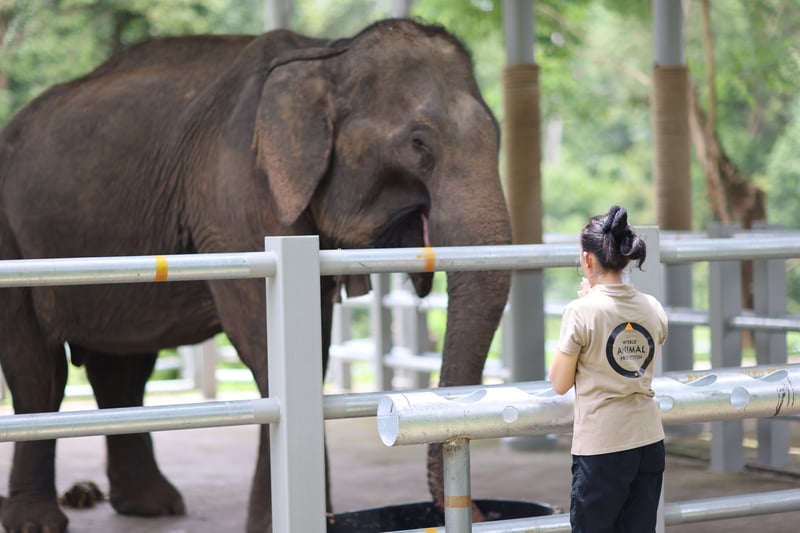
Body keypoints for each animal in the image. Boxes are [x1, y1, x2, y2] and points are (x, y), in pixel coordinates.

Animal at [0, 18, 511, 533]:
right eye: (418, 142)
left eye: (498, 136)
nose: (483, 511)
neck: (326, 56)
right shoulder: (238, 190)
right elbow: (265, 342)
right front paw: (284, 521)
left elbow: (314, 340)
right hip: (13, 239)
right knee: (39, 371)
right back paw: (39, 522)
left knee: (123, 364)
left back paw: (153, 506)